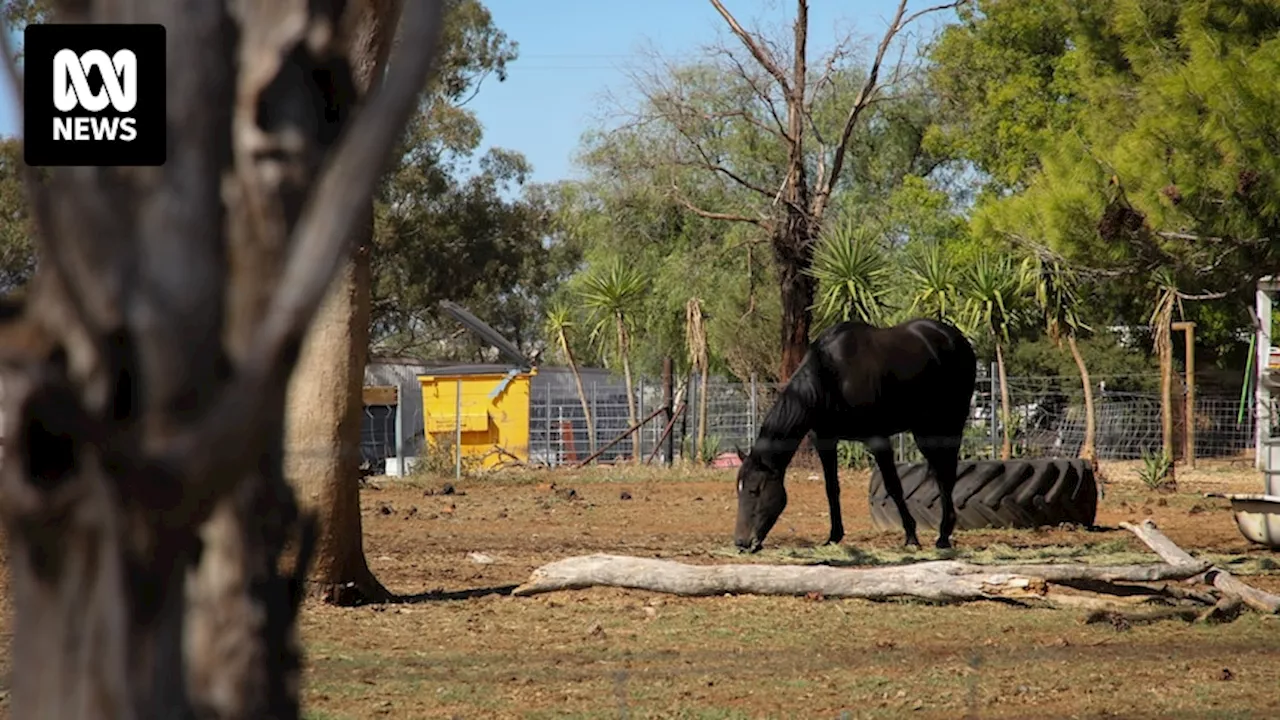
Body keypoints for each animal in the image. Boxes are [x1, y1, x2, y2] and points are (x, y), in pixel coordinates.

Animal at [737, 317, 972, 548]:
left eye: (754, 490)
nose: (742, 542)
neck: (831, 376)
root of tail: (957, 338)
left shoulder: (877, 439)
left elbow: (893, 486)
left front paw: (911, 537)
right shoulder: (825, 440)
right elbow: (831, 488)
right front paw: (833, 536)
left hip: (950, 423)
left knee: (947, 473)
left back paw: (943, 536)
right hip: (924, 429)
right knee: (941, 471)